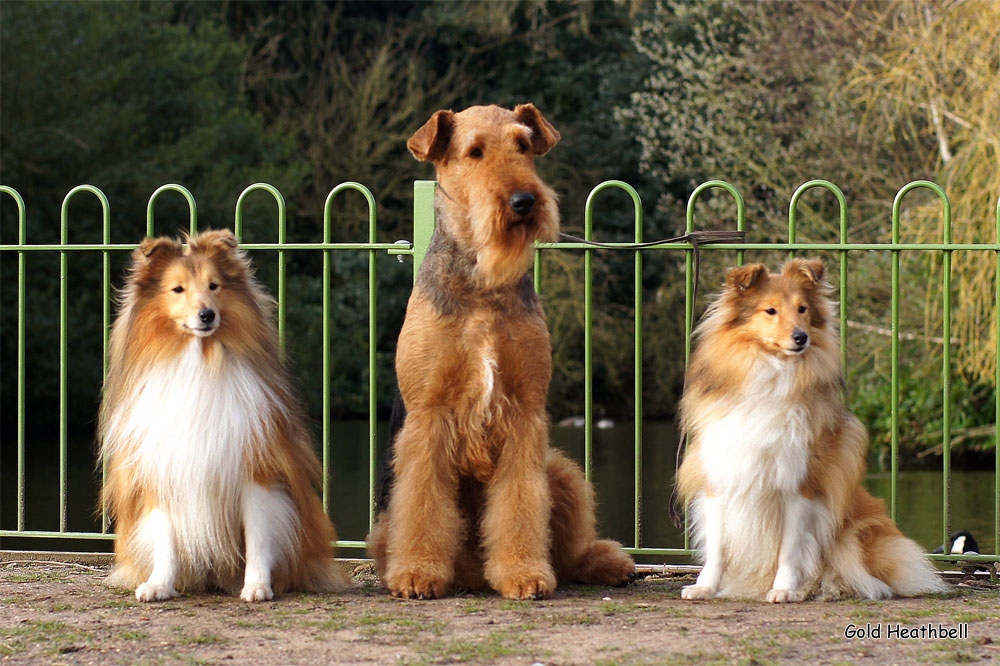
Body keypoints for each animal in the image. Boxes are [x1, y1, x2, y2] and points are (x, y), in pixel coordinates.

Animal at [98, 231, 348, 600]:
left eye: (213, 286)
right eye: (177, 289)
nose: (207, 315)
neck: (199, 359)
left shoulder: (255, 469)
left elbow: (258, 535)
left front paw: (257, 586)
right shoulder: (162, 465)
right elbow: (165, 538)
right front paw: (159, 585)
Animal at [368, 104, 632, 596]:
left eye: (523, 145)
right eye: (474, 151)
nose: (524, 201)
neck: (482, 284)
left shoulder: (525, 412)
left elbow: (520, 506)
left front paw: (523, 572)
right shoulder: (429, 415)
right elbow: (422, 503)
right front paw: (416, 572)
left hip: (560, 472)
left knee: (568, 550)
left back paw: (605, 562)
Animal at [672, 256, 944, 600]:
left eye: (802, 308)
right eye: (770, 310)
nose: (801, 337)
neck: (771, 372)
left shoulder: (801, 485)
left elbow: (790, 550)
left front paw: (784, 589)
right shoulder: (721, 475)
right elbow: (718, 547)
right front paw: (704, 587)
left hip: (859, 533)